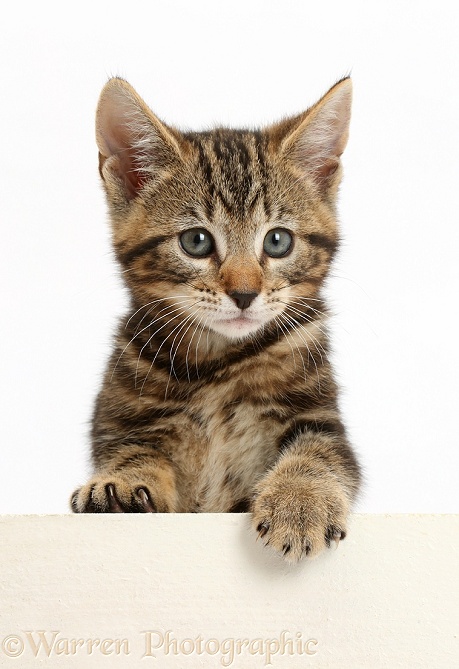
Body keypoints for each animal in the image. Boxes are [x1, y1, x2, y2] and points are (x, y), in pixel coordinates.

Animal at [70, 75, 362, 560]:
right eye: (196, 241)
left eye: (278, 241)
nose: (244, 294)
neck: (219, 366)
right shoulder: (122, 424)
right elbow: (135, 451)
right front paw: (120, 483)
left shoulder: (322, 420)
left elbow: (318, 454)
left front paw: (300, 502)